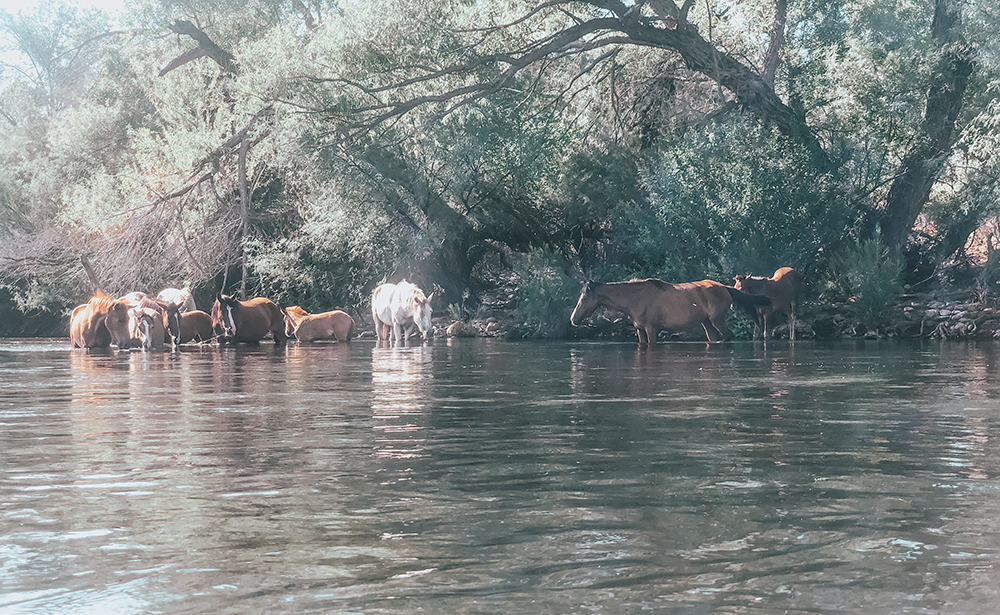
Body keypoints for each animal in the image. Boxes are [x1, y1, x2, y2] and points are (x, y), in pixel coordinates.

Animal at [568, 278, 768, 344]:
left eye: (584, 298)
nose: (573, 319)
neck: (634, 299)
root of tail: (725, 288)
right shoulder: (639, 330)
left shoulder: (652, 329)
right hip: (706, 323)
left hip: (717, 319)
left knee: (728, 335)